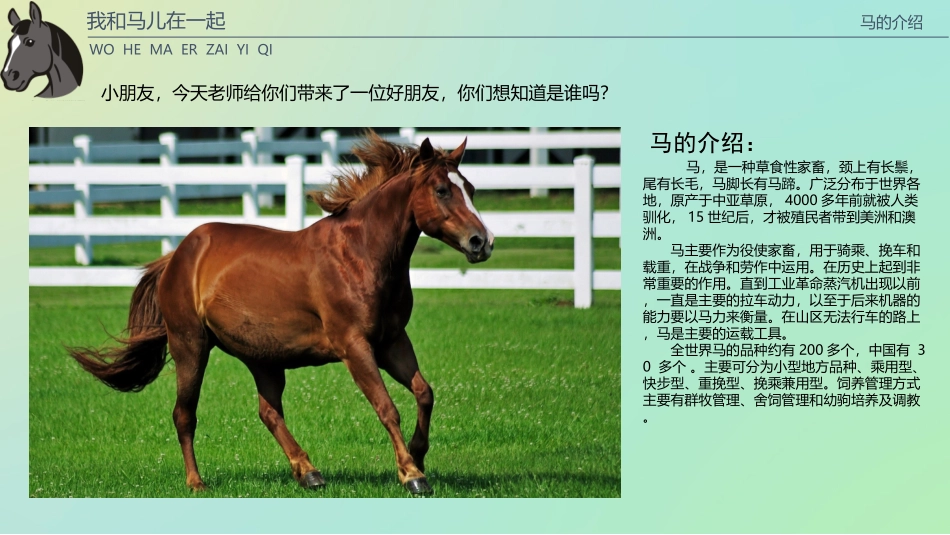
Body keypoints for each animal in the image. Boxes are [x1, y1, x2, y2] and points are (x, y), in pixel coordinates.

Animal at [68, 133, 494, 495]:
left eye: (471, 189)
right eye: (442, 190)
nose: (482, 242)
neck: (359, 254)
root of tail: (178, 254)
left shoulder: (391, 342)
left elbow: (424, 393)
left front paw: (417, 455)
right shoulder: (354, 347)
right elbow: (387, 408)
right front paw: (411, 475)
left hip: (264, 359)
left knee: (268, 412)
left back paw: (308, 472)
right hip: (191, 346)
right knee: (184, 414)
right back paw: (196, 482)